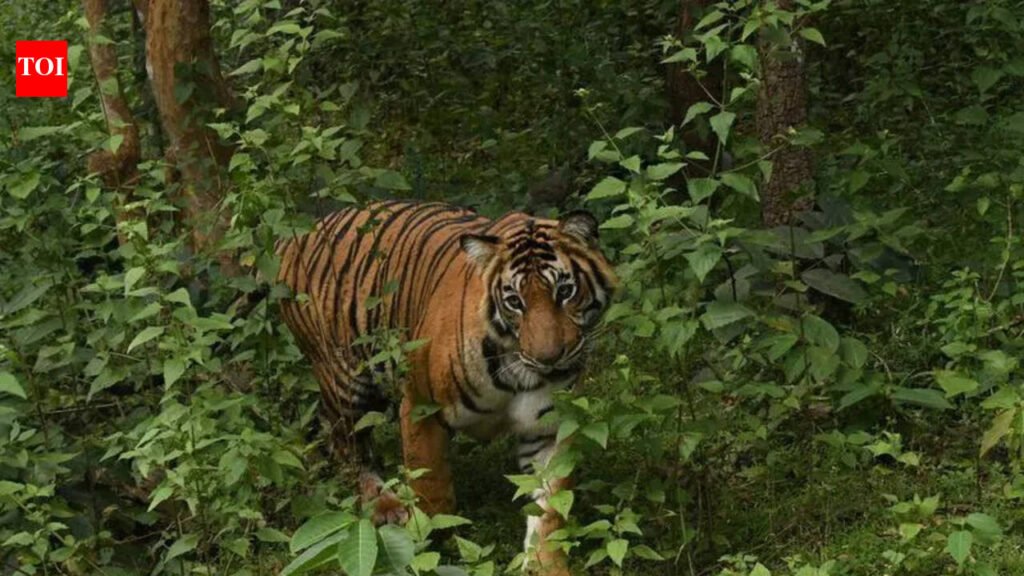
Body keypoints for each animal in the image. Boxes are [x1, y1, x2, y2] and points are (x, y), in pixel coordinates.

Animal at [275, 200, 616, 574]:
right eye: (514, 301)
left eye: (565, 292)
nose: (549, 358)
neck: (519, 372)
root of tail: (299, 233)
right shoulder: (421, 406)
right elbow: (430, 487)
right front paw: (421, 546)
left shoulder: (550, 428)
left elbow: (550, 507)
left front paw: (546, 564)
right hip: (346, 378)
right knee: (348, 441)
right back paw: (383, 506)